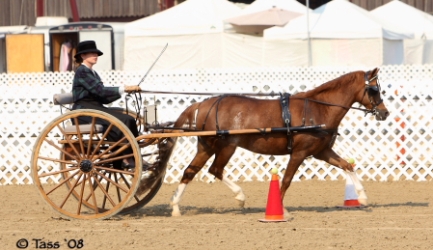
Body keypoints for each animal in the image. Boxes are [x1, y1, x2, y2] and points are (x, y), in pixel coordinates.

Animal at [168, 68, 388, 217]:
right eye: (373, 90)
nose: (385, 113)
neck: (318, 109)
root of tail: (204, 103)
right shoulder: (299, 153)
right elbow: (286, 180)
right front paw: (280, 210)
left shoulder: (322, 152)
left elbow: (347, 166)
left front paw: (362, 196)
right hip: (227, 146)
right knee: (215, 169)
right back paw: (239, 196)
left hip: (206, 146)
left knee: (190, 171)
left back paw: (176, 207)